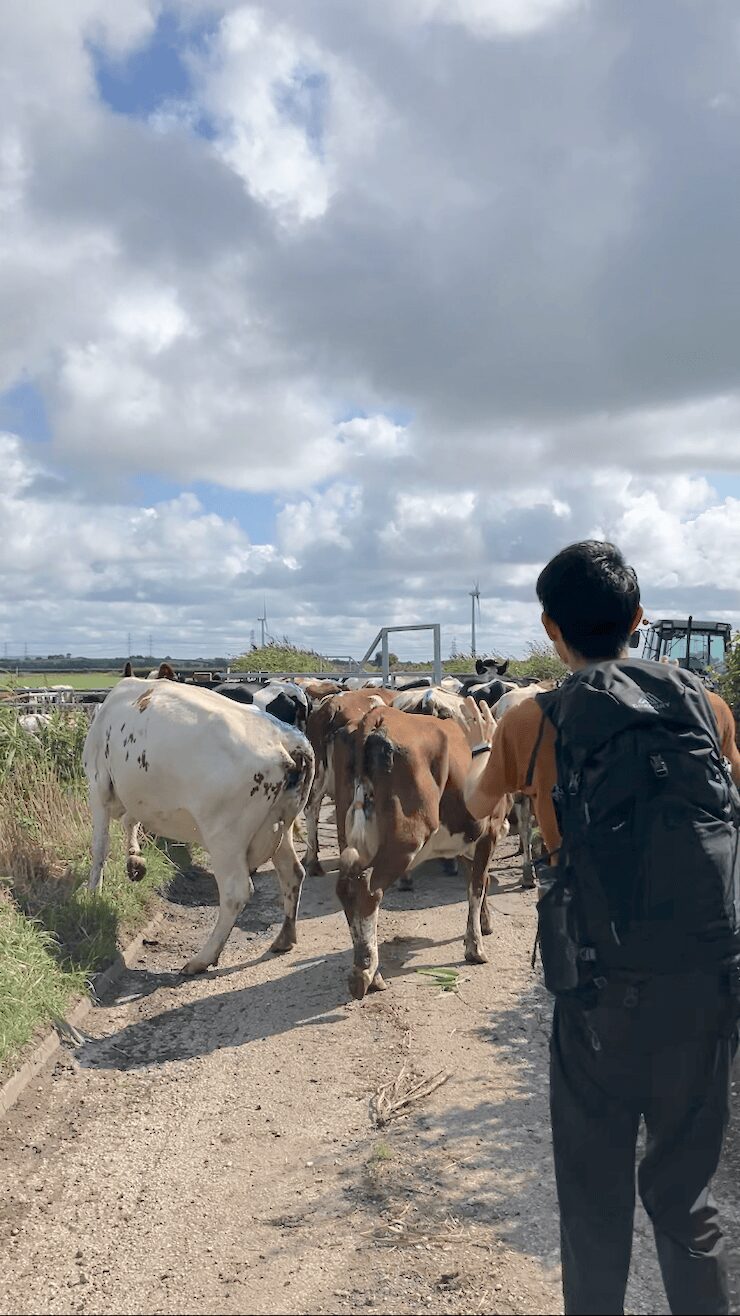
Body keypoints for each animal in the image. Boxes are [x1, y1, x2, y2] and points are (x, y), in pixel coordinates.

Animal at [83, 684, 313, 973]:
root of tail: (286, 737)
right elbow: (130, 821)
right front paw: (135, 861)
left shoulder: (99, 783)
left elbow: (100, 846)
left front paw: (93, 893)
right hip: (281, 826)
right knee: (293, 873)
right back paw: (284, 938)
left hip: (225, 836)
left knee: (236, 892)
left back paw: (202, 959)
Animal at [334, 710, 505, 994]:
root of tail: (375, 717)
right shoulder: (488, 832)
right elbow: (478, 886)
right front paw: (475, 947)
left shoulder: (465, 842)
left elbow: (476, 881)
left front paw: (484, 923)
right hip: (407, 838)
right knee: (368, 888)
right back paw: (365, 973)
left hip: (349, 832)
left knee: (348, 887)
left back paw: (372, 972)